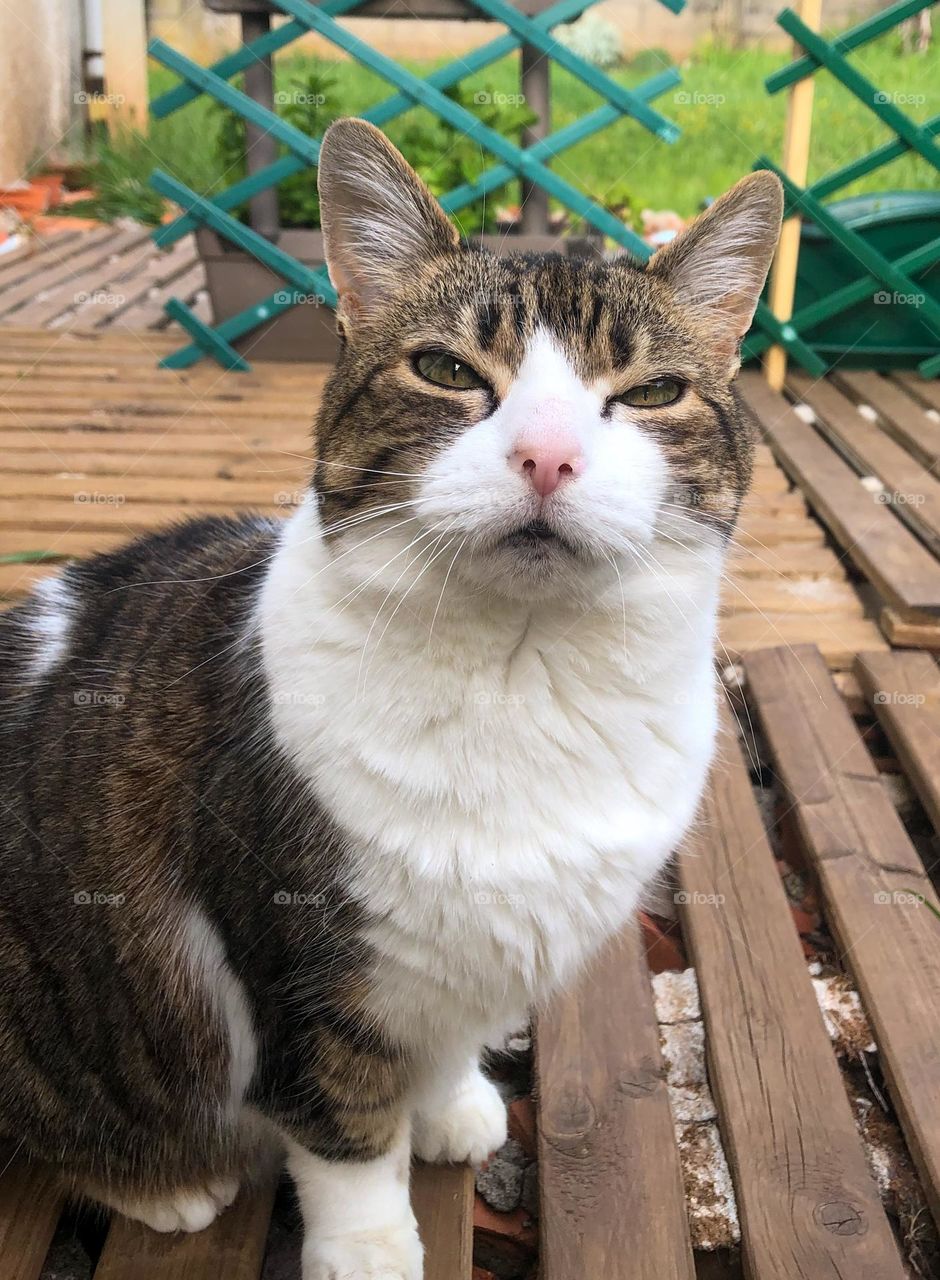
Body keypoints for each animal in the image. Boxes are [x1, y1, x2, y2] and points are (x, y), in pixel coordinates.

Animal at [0, 120, 778, 1280]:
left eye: (649, 393)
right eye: (448, 370)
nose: (548, 456)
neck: (524, 677)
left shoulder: (476, 952)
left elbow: (447, 1037)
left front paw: (450, 1105)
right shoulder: (303, 979)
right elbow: (345, 1126)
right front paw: (368, 1243)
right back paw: (164, 1183)